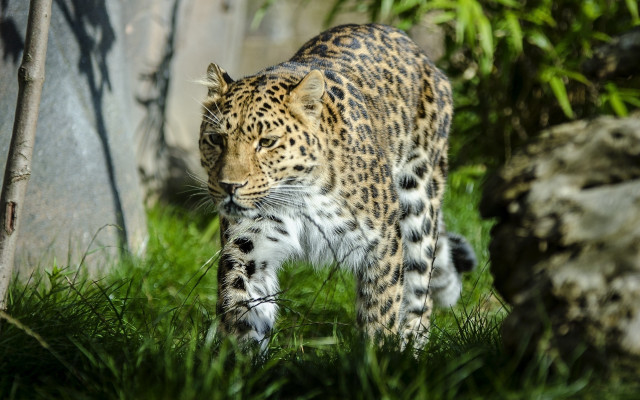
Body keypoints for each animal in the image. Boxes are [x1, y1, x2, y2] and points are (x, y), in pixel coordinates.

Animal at [199, 23, 476, 349]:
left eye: (266, 142)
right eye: (216, 139)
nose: (229, 186)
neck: (297, 196)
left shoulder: (383, 244)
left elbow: (381, 311)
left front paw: (378, 356)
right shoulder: (247, 250)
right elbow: (243, 314)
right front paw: (243, 359)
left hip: (419, 200)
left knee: (421, 288)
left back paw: (409, 347)